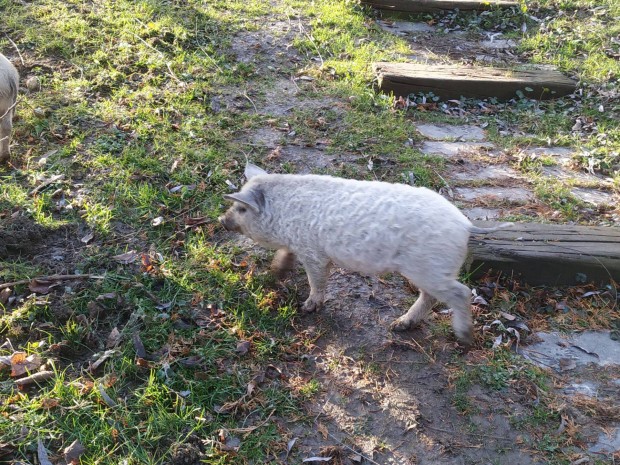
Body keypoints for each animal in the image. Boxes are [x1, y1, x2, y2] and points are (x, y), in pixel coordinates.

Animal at [220, 163, 512, 344]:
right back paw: (399, 325)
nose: (222, 220)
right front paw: (274, 274)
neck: (283, 214)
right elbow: (285, 256)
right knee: (431, 297)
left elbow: (317, 280)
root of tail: (464, 224)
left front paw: (306, 308)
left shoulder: (315, 253)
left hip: (428, 268)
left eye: (242, 208)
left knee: (460, 293)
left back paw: (463, 338)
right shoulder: (298, 245)